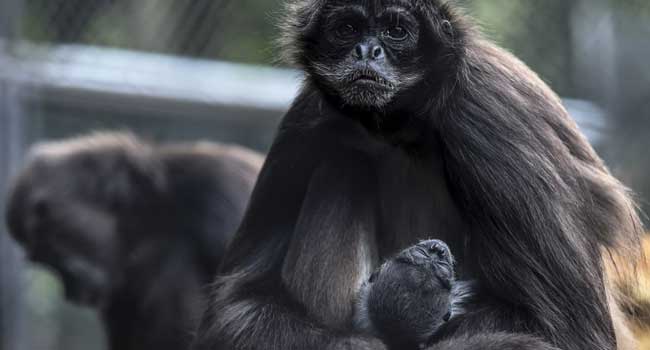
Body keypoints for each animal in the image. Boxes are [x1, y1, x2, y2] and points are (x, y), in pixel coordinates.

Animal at [191, 0, 636, 350]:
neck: (400, 123)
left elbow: (571, 334)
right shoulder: (307, 115)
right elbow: (234, 308)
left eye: (396, 30)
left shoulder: (487, 111)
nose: (367, 51)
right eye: (347, 29)